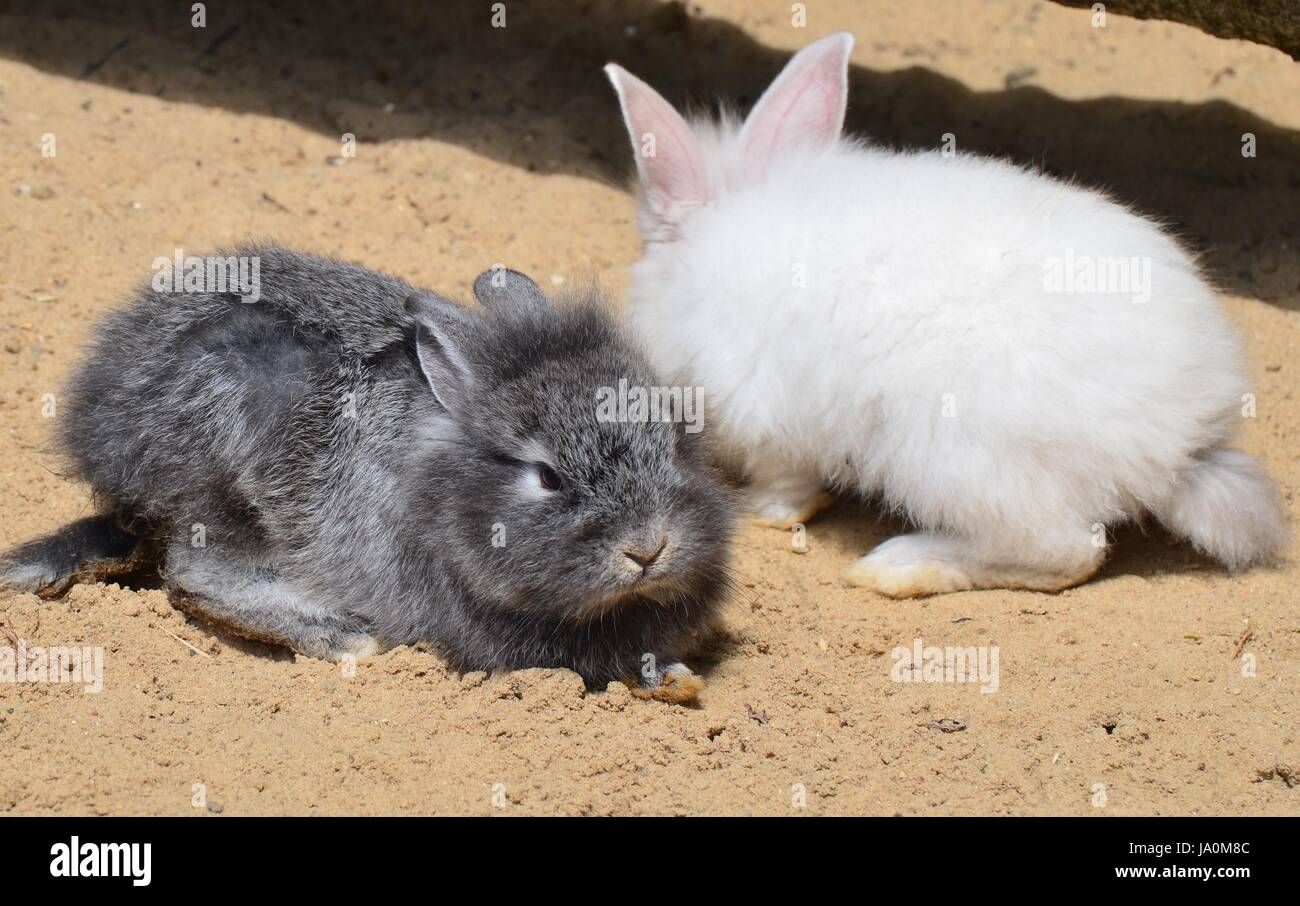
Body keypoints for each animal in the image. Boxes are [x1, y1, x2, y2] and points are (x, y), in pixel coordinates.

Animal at [0, 245, 735, 702]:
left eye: (672, 442)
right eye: (547, 476)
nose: (647, 548)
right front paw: (671, 680)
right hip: (240, 489)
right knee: (193, 574)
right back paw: (344, 637)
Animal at [604, 32, 1289, 597]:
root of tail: (1186, 449)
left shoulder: (764, 412)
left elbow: (789, 487)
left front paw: (759, 511)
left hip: (959, 461)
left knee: (1070, 553)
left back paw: (897, 567)